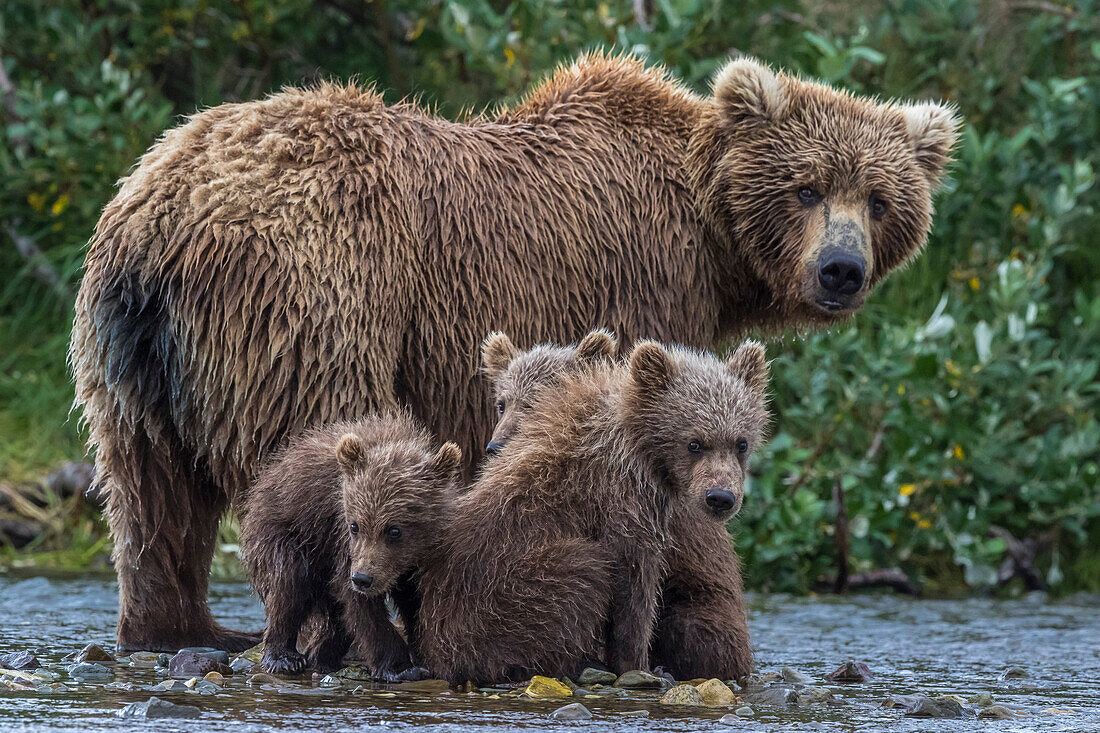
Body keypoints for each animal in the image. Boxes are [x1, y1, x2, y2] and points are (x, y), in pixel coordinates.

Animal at [240, 413, 459, 677]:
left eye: (394, 530)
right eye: (355, 526)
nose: (363, 578)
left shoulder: (420, 557)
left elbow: (412, 599)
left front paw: (421, 653)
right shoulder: (343, 539)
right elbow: (359, 604)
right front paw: (400, 667)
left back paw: (323, 654)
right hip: (285, 531)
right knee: (289, 583)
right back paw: (283, 657)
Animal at [415, 338, 770, 682]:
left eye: (741, 442)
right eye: (694, 442)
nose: (720, 497)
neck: (641, 446)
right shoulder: (622, 496)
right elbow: (634, 582)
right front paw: (641, 664)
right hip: (499, 596)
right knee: (581, 574)